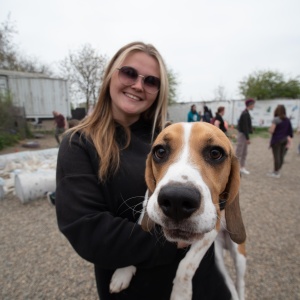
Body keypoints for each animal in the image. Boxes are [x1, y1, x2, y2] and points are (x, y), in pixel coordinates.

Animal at [109, 122, 246, 300]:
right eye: (160, 151)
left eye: (215, 153)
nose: (177, 200)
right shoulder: (147, 210)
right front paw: (123, 272)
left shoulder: (210, 229)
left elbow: (186, 265)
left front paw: (181, 293)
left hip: (239, 255)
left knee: (240, 282)